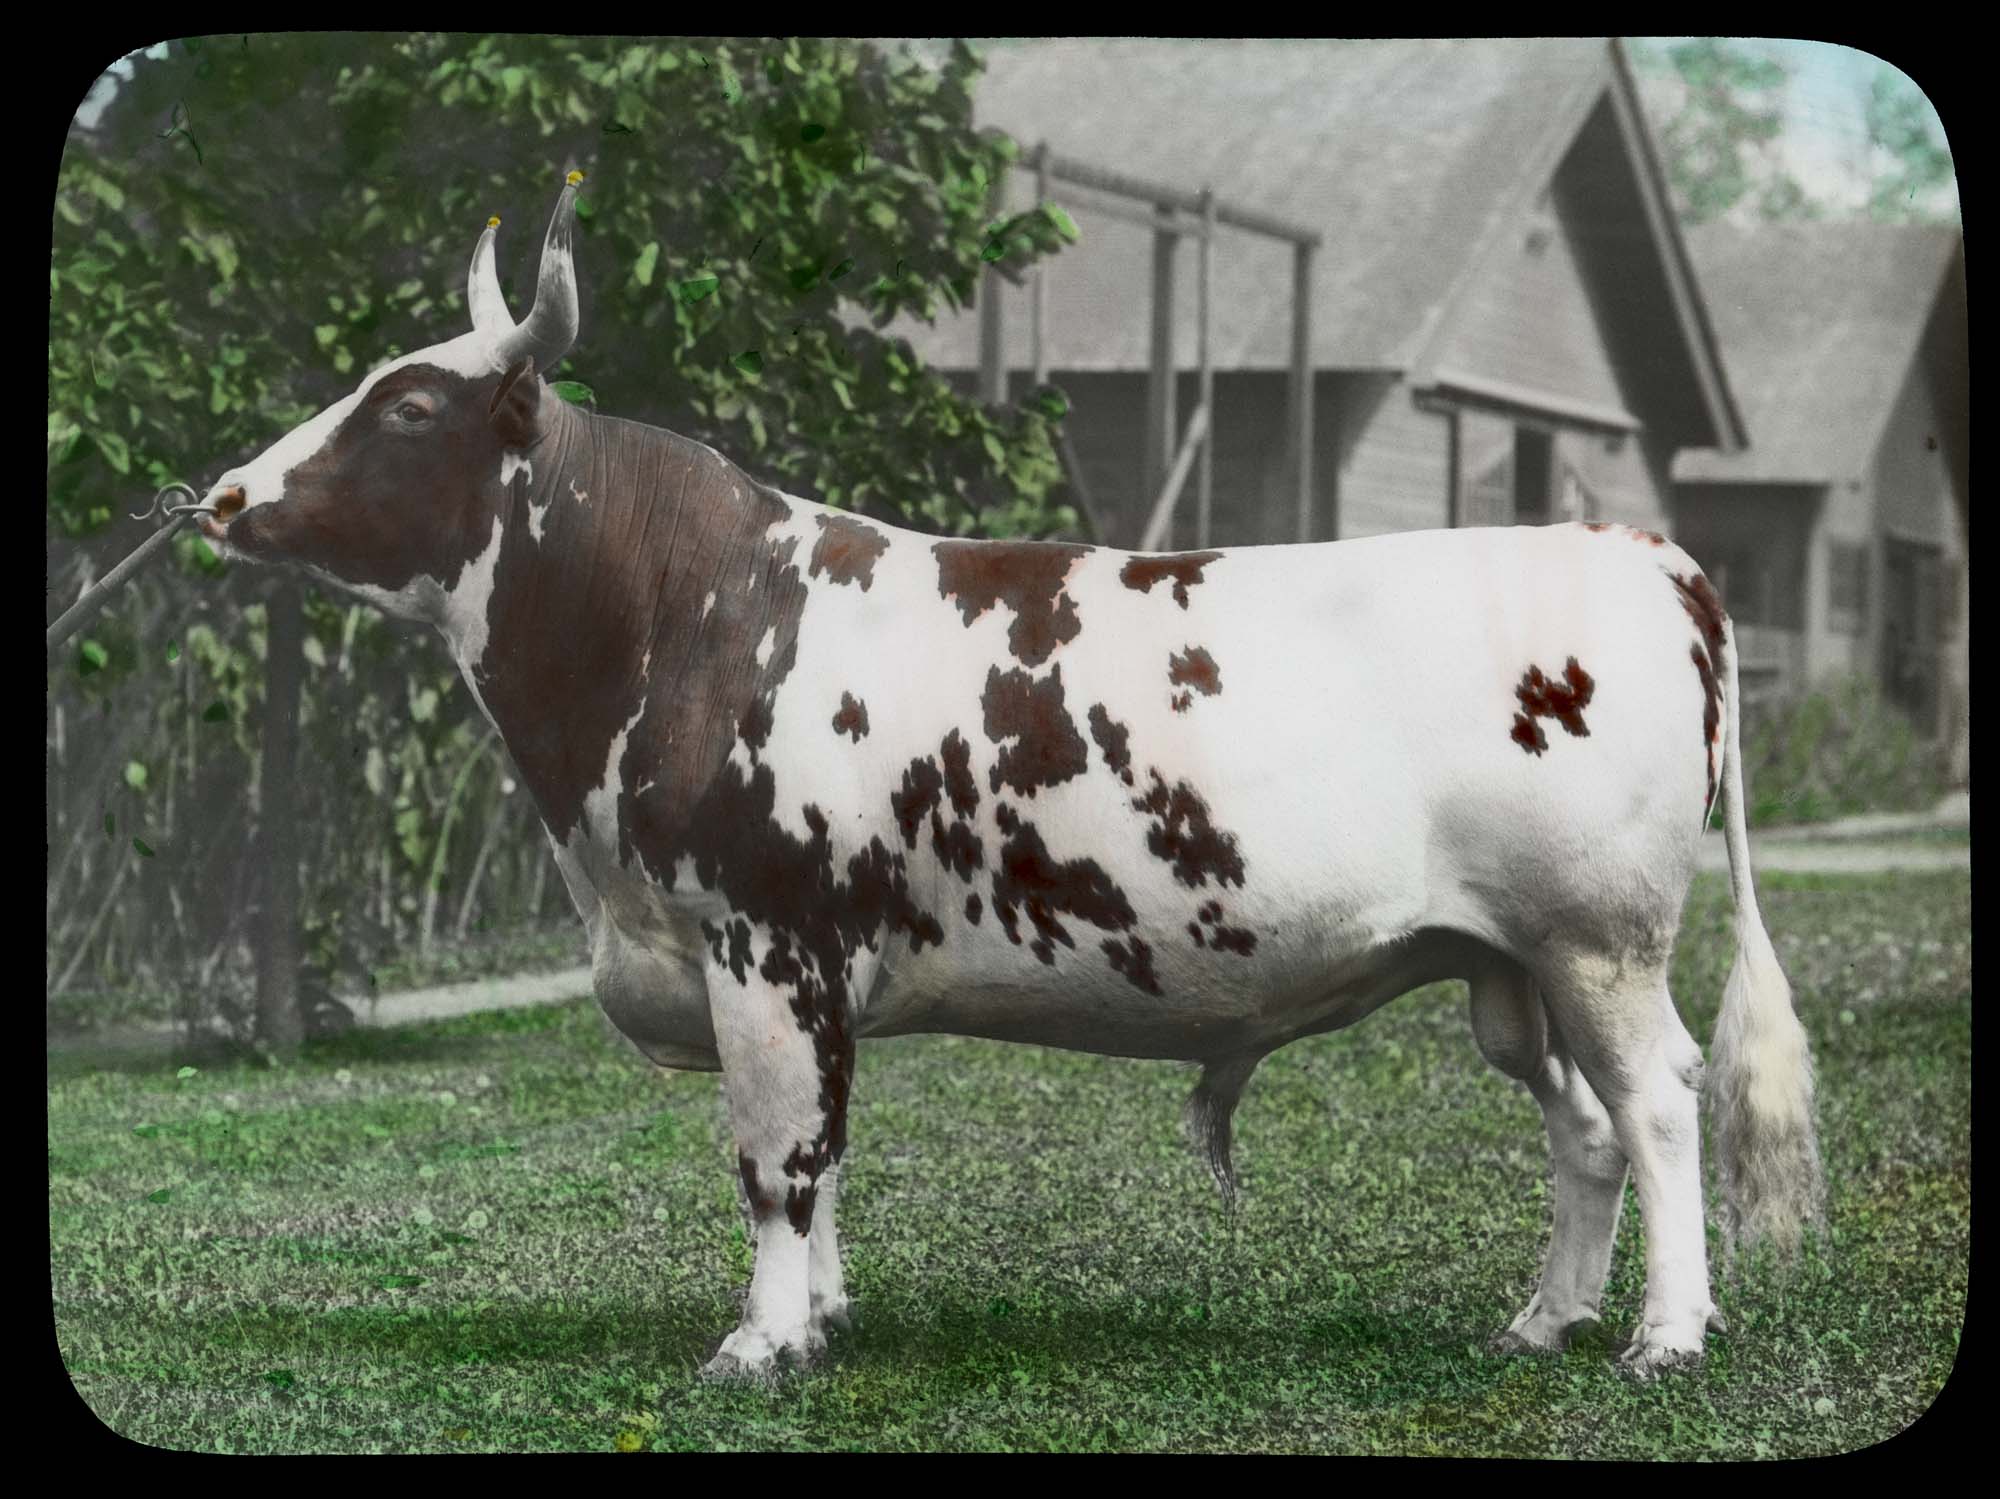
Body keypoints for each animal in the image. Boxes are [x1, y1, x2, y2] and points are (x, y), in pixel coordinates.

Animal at [196, 174, 1823, 1381]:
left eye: (410, 408)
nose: (220, 494)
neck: (687, 613)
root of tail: (1635, 547)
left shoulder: (762, 936)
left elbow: (775, 1152)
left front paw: (756, 1343)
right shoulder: (800, 966)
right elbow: (826, 1146)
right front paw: (824, 1320)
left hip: (1598, 935)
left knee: (1658, 1104)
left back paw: (1667, 1335)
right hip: (1506, 961)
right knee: (1580, 1126)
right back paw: (1543, 1317)